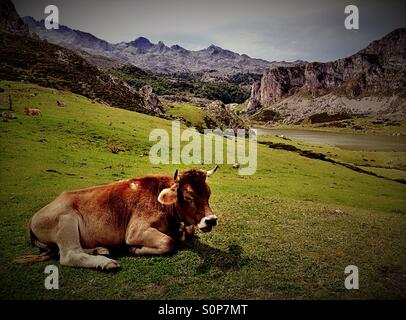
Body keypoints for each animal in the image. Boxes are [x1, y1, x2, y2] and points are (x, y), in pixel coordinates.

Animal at [15, 168, 219, 270]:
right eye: (189, 197)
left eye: (208, 193)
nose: (211, 220)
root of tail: (33, 217)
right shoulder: (136, 231)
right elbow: (168, 242)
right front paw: (134, 249)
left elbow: (188, 231)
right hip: (66, 220)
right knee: (68, 255)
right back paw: (106, 262)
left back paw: (101, 250)